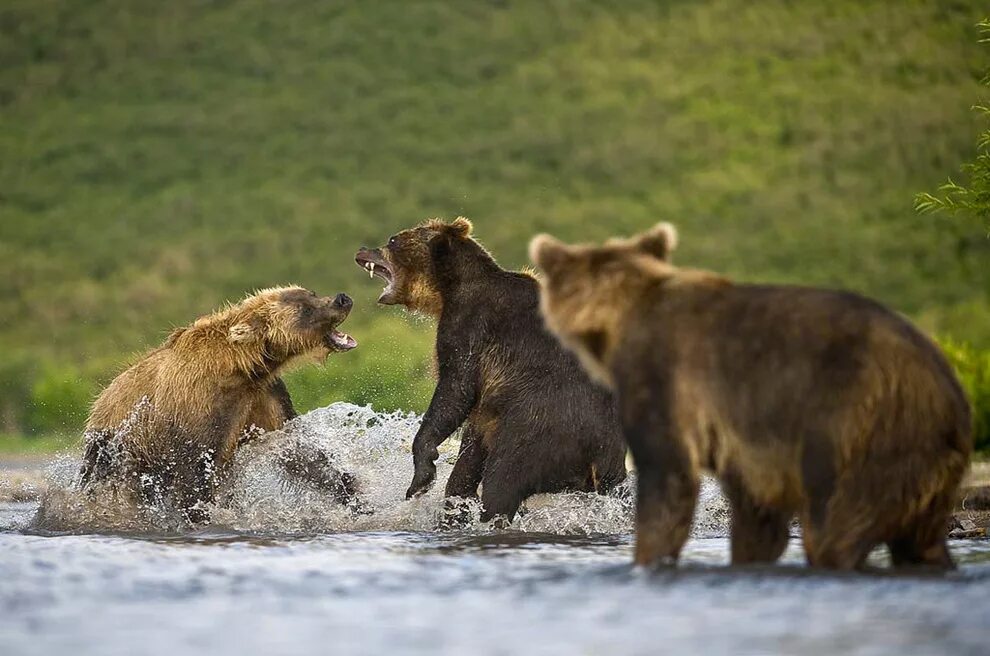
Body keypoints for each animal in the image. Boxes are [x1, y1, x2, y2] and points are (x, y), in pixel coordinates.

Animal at [352, 218, 624, 524]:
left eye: (393, 240)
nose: (362, 249)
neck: (449, 290)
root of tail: (598, 454)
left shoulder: (468, 326)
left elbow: (455, 390)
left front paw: (421, 477)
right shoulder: (489, 407)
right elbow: (469, 450)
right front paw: (456, 500)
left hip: (539, 431)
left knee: (502, 481)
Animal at [532, 224, 972, 568]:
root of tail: (951, 394)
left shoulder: (668, 384)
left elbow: (668, 478)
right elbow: (754, 511)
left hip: (861, 436)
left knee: (837, 526)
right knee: (920, 541)